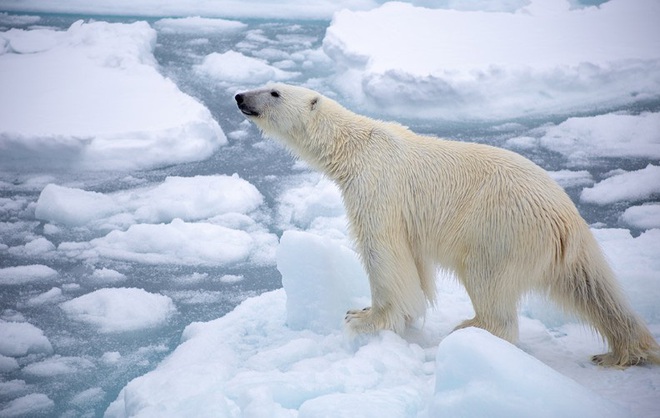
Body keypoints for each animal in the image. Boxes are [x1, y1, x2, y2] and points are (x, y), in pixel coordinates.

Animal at [237, 81, 660, 366]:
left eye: (274, 91)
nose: (240, 97)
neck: (355, 146)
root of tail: (567, 217)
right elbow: (415, 264)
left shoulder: (378, 185)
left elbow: (383, 251)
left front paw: (364, 318)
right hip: (563, 247)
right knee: (593, 288)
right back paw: (623, 350)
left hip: (501, 228)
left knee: (487, 277)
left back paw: (472, 327)